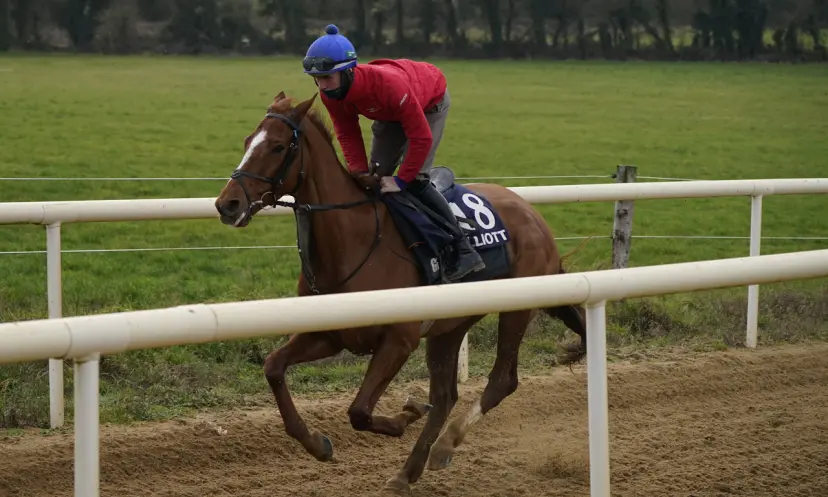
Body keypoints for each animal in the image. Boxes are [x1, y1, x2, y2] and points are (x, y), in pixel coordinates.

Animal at [213, 92, 588, 492]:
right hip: (449, 326)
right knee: (445, 396)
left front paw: (406, 414)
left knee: (502, 380)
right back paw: (408, 471)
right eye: (247, 141)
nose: (227, 204)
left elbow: (359, 411)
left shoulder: (399, 339)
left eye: (278, 146)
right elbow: (273, 367)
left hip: (516, 309)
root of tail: (536, 218)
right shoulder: (329, 334)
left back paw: (445, 444)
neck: (354, 239)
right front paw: (317, 443)